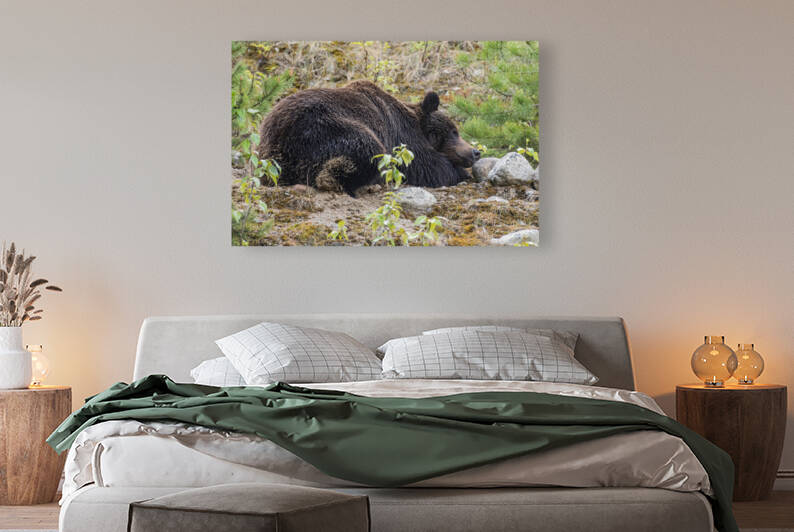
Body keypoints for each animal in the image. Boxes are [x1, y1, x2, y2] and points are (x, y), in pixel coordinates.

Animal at [257, 80, 480, 195]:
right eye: (454, 131)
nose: (475, 151)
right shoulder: (402, 138)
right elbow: (427, 167)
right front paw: (460, 172)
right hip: (321, 129)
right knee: (367, 150)